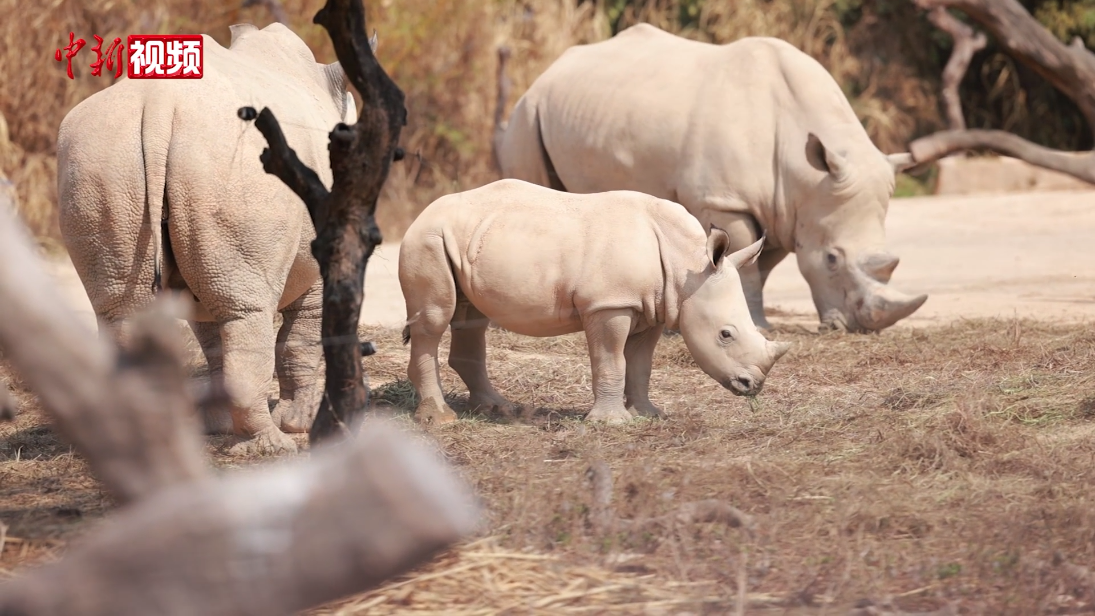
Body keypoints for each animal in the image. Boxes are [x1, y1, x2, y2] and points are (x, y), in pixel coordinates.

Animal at [57, 22, 356, 452]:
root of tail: (158, 103)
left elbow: (213, 340)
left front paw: (218, 426)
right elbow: (299, 340)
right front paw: (298, 424)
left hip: (102, 158)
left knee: (123, 311)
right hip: (235, 164)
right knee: (247, 312)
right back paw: (273, 445)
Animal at [398, 178, 792, 424]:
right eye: (726, 335)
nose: (752, 386)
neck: (688, 265)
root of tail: (422, 214)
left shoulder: (653, 306)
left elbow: (640, 364)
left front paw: (648, 415)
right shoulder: (609, 304)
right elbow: (611, 360)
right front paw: (612, 422)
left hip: (463, 238)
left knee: (471, 319)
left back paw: (497, 410)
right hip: (428, 239)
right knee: (434, 319)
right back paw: (441, 420)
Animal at [501, 24, 928, 334]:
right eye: (832, 259)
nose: (860, 328)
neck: (803, 172)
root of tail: (549, 71)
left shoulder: (784, 211)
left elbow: (758, 265)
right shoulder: (725, 200)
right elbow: (750, 268)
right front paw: (760, 326)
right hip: (528, 111)